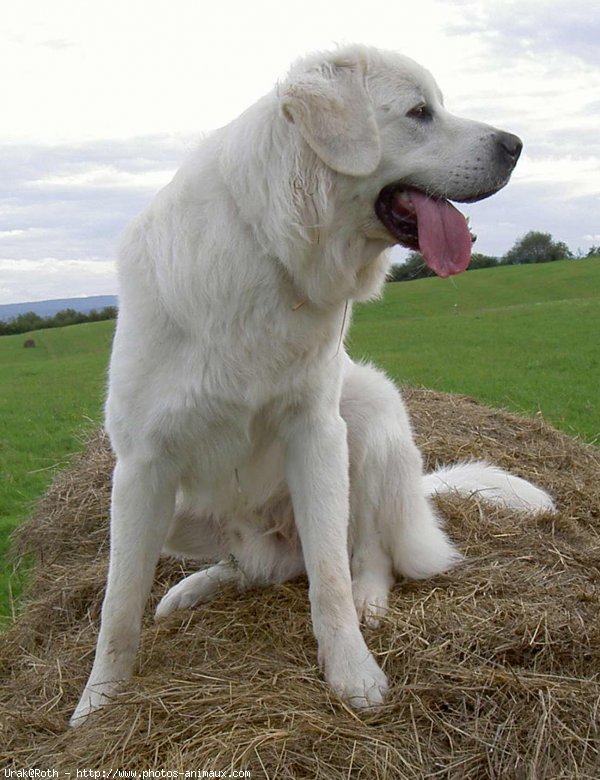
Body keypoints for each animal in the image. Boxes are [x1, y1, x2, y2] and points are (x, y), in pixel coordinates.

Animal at [70, 44, 552, 724]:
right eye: (419, 112)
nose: (515, 144)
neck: (271, 247)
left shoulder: (319, 434)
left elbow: (328, 578)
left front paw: (351, 673)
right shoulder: (140, 468)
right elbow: (118, 606)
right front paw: (97, 704)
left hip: (370, 415)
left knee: (367, 554)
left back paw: (369, 599)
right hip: (175, 512)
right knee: (249, 567)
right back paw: (193, 588)